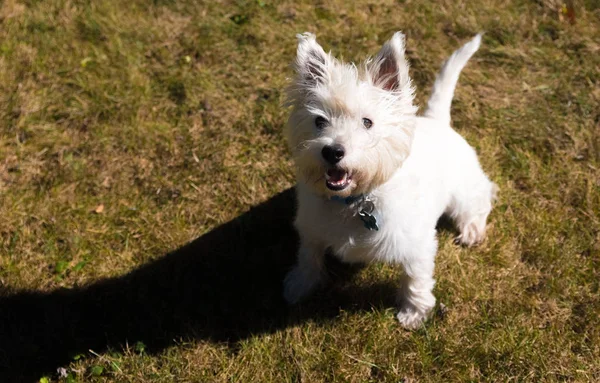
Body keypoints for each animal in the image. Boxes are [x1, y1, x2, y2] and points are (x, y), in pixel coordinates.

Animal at [282, 31, 496, 328]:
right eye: (319, 121)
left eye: (367, 122)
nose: (332, 151)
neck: (354, 201)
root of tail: (436, 121)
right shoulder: (311, 227)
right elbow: (308, 256)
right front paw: (299, 286)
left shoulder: (418, 243)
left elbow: (416, 278)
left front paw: (414, 313)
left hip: (464, 188)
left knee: (480, 200)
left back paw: (472, 230)